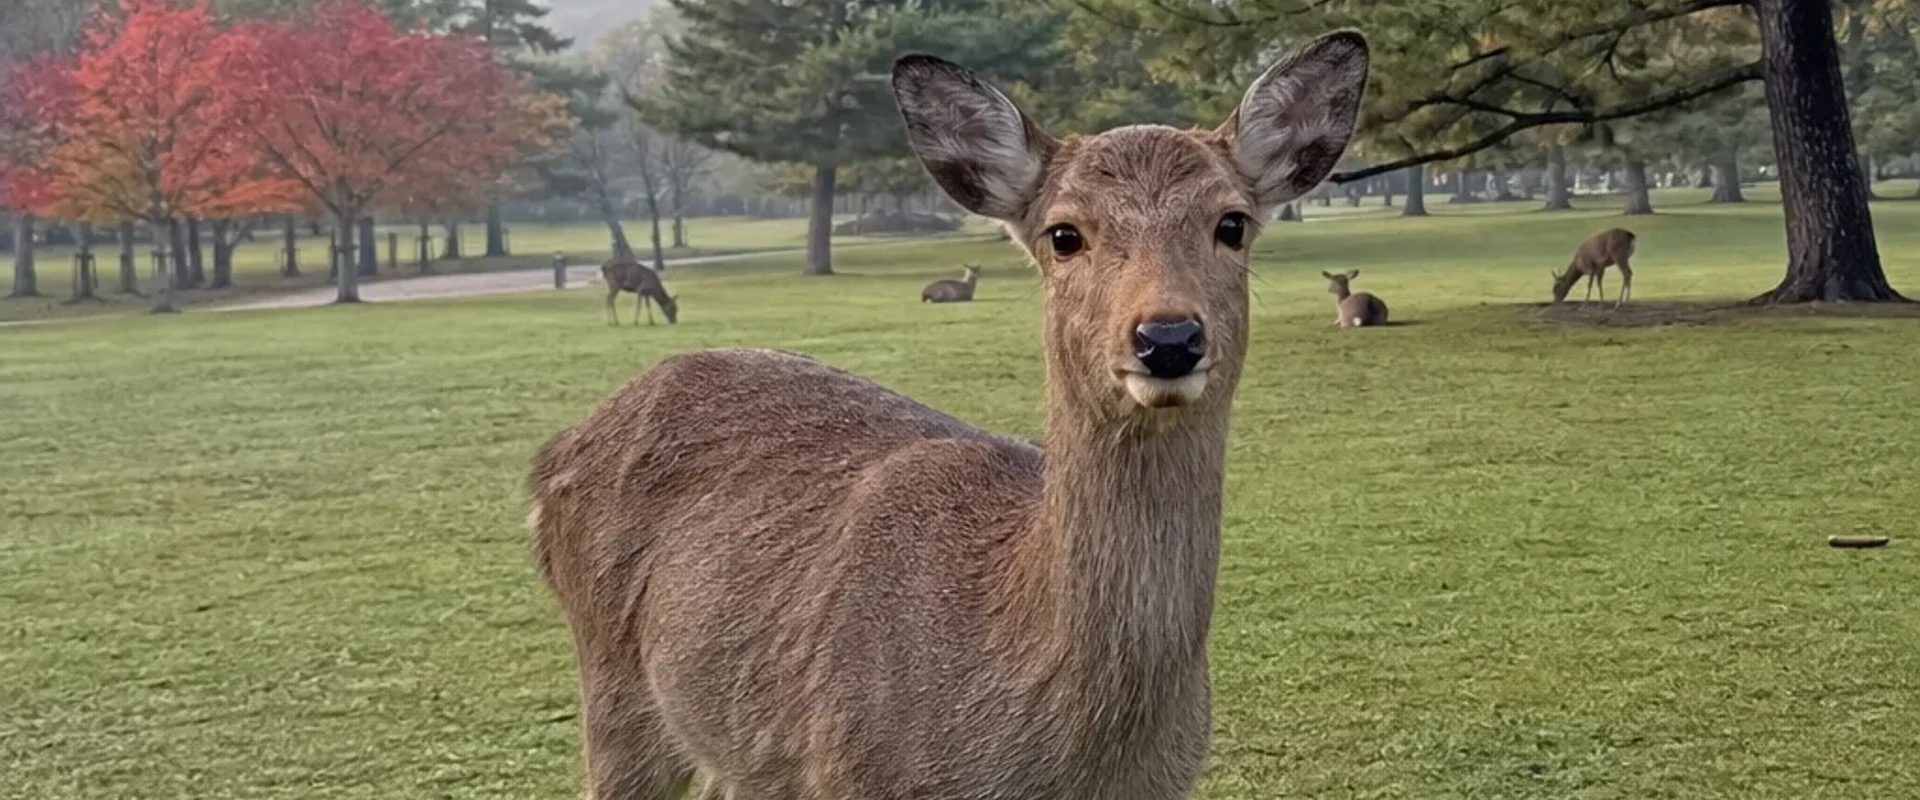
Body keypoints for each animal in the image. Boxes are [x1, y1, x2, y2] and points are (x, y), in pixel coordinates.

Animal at [526, 31, 1369, 800]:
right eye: (1064, 234)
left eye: (1232, 223)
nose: (1167, 338)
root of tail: (550, 457)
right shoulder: (850, 771)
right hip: (614, 682)